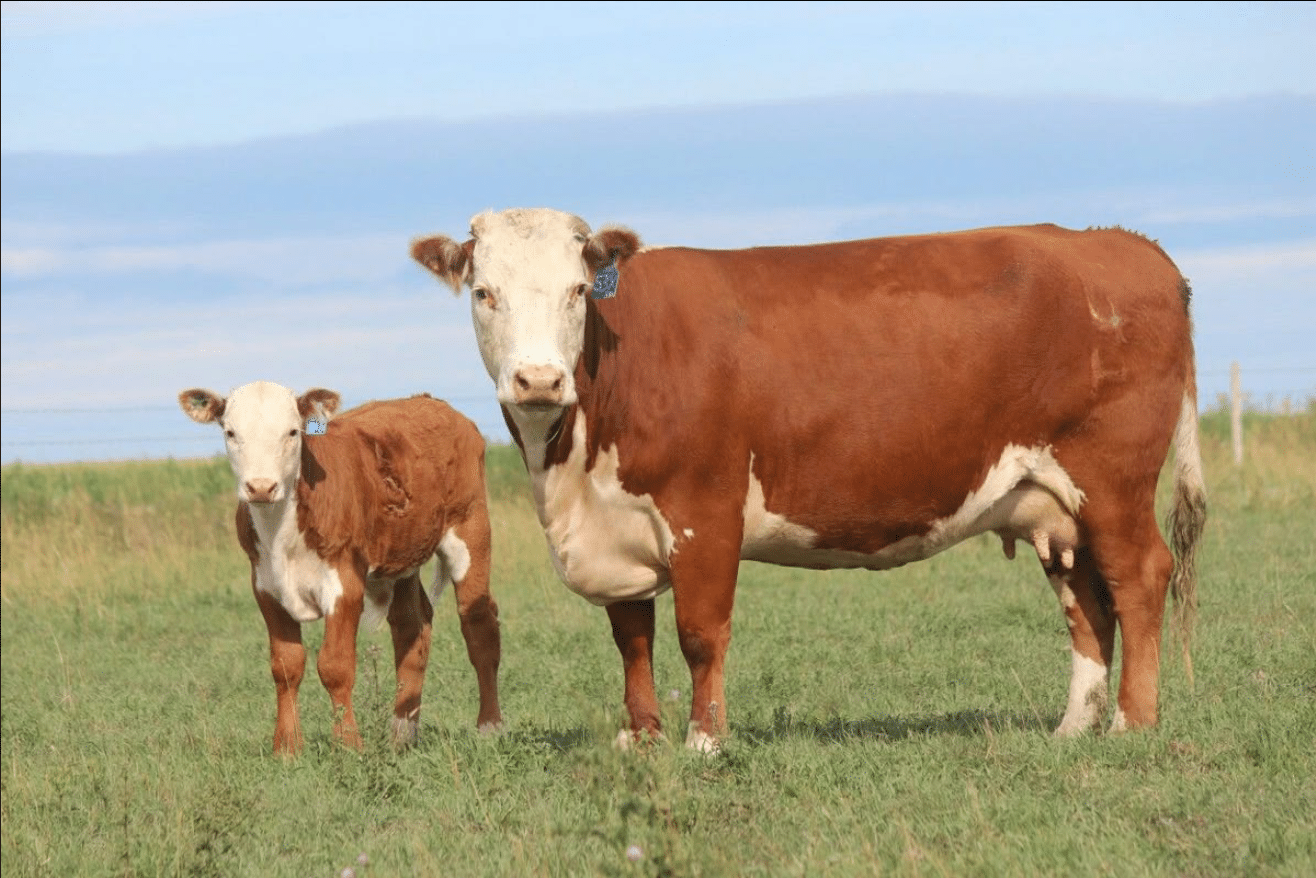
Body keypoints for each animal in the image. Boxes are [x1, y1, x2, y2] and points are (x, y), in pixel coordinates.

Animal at [179, 381, 502, 754]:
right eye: (230, 432)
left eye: (293, 432)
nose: (260, 487)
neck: (281, 533)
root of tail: (432, 403)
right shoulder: (265, 586)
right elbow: (286, 665)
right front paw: (287, 748)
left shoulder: (344, 582)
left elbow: (335, 666)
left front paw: (348, 744)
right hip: (403, 557)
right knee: (412, 628)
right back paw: (402, 733)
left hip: (471, 527)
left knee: (479, 624)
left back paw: (489, 727)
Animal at [410, 208, 1207, 752]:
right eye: (484, 293)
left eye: (578, 290)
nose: (539, 379)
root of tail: (1121, 242)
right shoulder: (618, 527)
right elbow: (632, 636)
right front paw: (642, 737)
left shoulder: (705, 509)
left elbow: (700, 632)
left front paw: (705, 740)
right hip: (1052, 503)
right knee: (1086, 599)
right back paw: (1073, 725)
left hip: (1111, 480)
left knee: (1140, 576)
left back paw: (1133, 724)